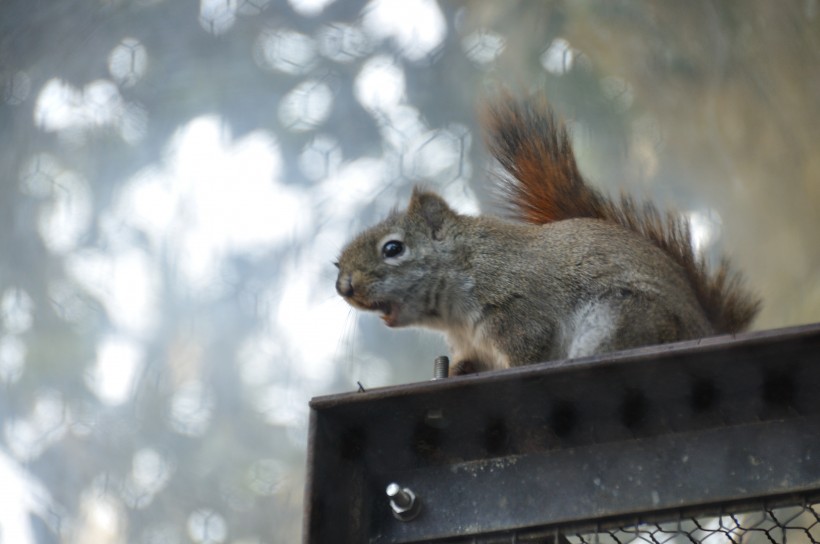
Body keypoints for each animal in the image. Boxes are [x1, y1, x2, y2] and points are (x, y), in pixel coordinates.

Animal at [334, 95, 764, 376]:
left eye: (393, 248)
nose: (344, 286)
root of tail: (708, 330)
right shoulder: (471, 344)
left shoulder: (519, 313)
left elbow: (528, 352)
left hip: (622, 321)